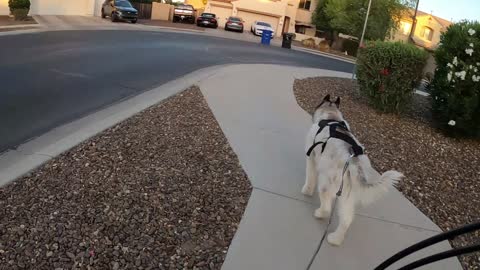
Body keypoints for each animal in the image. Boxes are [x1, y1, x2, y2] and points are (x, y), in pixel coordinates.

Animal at [302, 95, 404, 247]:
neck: (331, 116)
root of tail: (354, 163)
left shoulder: (311, 157)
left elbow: (310, 177)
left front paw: (307, 191)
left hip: (328, 185)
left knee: (327, 208)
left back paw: (320, 214)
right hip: (348, 193)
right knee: (346, 219)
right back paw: (335, 239)